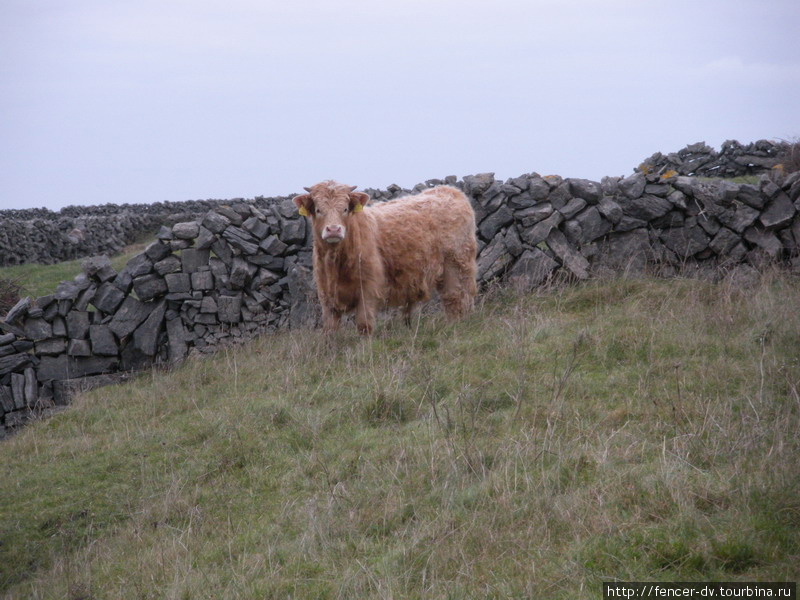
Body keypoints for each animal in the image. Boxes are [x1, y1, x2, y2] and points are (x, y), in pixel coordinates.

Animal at [296, 180, 478, 336]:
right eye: (318, 210)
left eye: (345, 209)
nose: (333, 229)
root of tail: (450, 190)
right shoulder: (326, 296)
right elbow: (329, 330)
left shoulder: (368, 289)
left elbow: (364, 325)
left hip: (456, 264)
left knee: (455, 299)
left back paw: (456, 327)